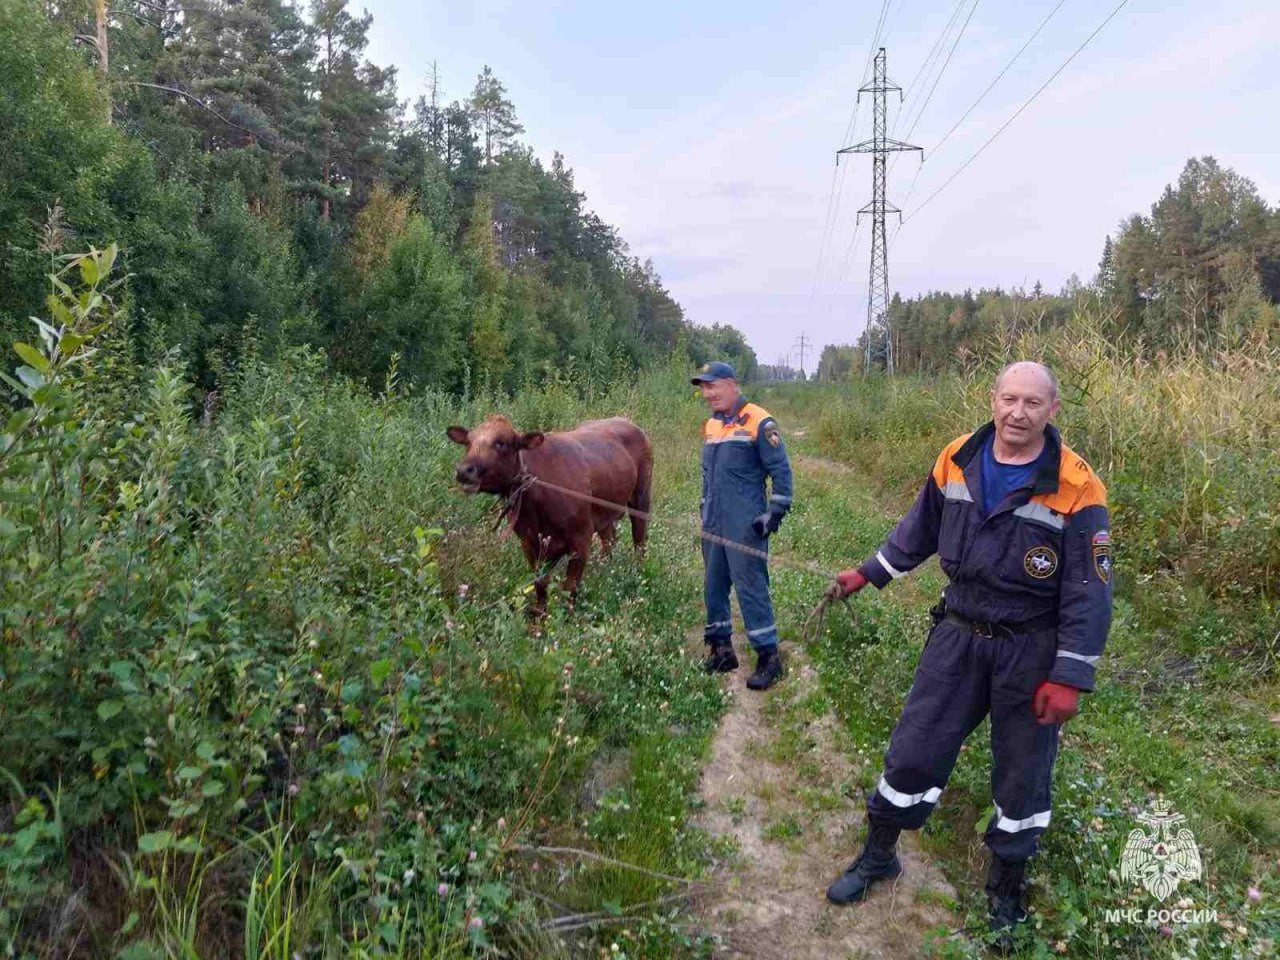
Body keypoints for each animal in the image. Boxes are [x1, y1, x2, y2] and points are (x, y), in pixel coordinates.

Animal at [448, 414, 650, 616]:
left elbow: (569, 588)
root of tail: (625, 420)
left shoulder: (581, 539)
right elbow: (540, 584)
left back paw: (638, 573)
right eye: (468, 442)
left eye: (501, 442)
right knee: (609, 539)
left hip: (641, 497)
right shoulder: (529, 543)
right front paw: (541, 616)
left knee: (639, 539)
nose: (463, 470)